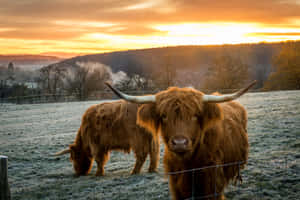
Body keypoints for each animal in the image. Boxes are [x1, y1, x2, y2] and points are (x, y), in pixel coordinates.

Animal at [105, 81, 255, 200]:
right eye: (164, 116)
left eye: (195, 115)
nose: (180, 143)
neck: (188, 165)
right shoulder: (176, 185)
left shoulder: (213, 185)